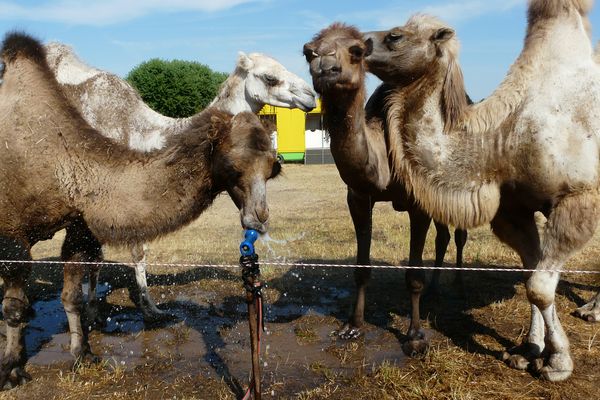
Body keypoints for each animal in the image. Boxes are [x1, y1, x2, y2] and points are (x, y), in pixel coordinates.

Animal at [0, 32, 282, 390]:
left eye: (273, 168)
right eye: (233, 166)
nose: (259, 216)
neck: (59, 159)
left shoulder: (77, 222)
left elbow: (71, 294)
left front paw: (83, 355)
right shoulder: (11, 233)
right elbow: (14, 306)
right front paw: (10, 369)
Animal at [302, 22, 466, 354]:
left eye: (356, 51)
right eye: (308, 53)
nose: (326, 68)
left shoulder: (418, 204)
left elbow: (413, 275)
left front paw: (415, 337)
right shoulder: (359, 197)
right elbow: (361, 269)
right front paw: (352, 326)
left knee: (458, 234)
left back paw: (457, 281)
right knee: (443, 236)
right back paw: (436, 287)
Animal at [360, 0, 600, 382]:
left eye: (395, 36)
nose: (354, 44)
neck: (504, 139)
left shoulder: (577, 197)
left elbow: (539, 287)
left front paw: (558, 363)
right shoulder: (513, 210)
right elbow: (530, 278)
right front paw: (528, 350)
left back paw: (592, 311)